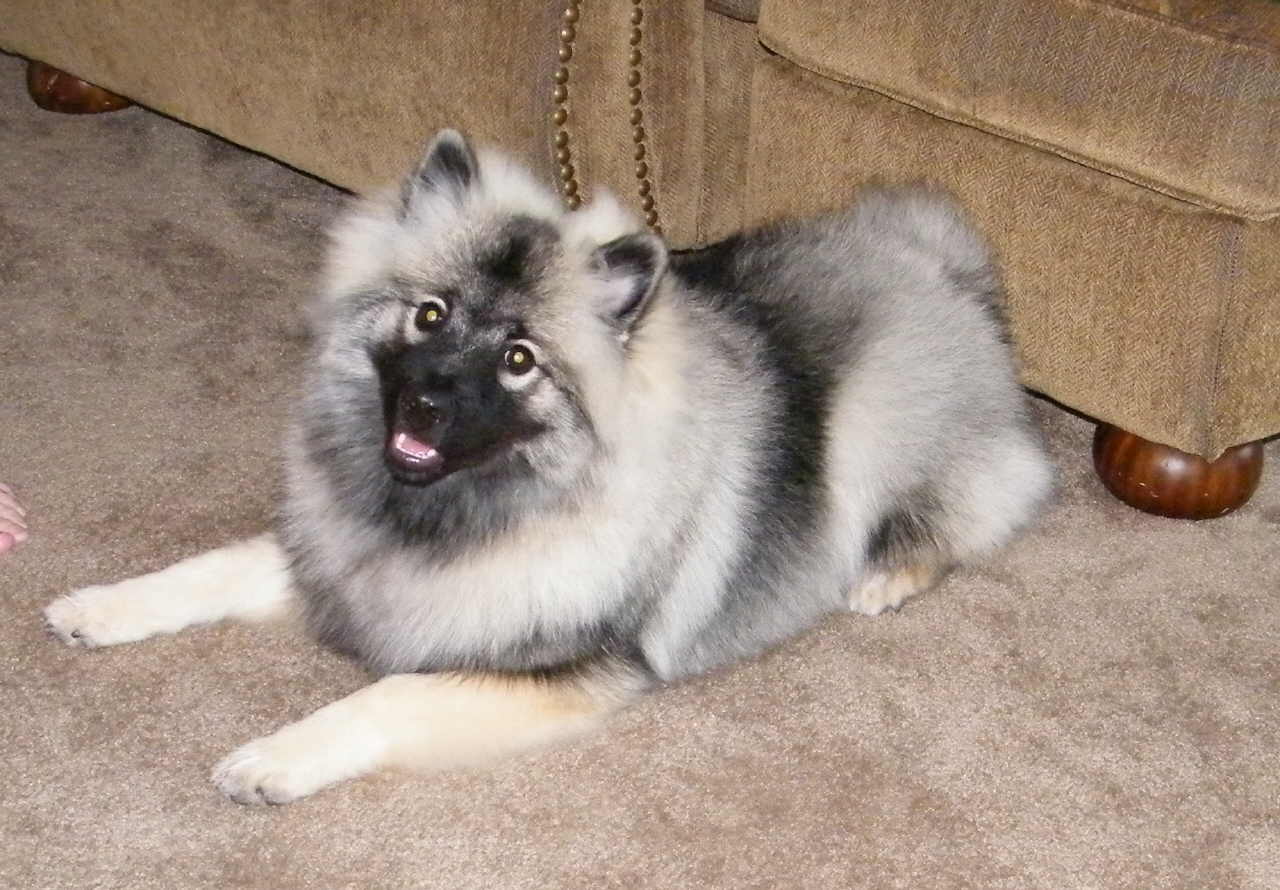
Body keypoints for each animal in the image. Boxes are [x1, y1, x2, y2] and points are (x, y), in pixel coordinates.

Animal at [43, 130, 1052, 804]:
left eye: (520, 359)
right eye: (431, 315)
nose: (426, 406)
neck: (467, 507)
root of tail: (939, 262)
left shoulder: (554, 668)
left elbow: (387, 697)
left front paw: (273, 758)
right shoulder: (339, 562)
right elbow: (208, 568)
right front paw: (100, 607)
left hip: (877, 425)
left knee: (985, 498)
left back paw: (887, 573)